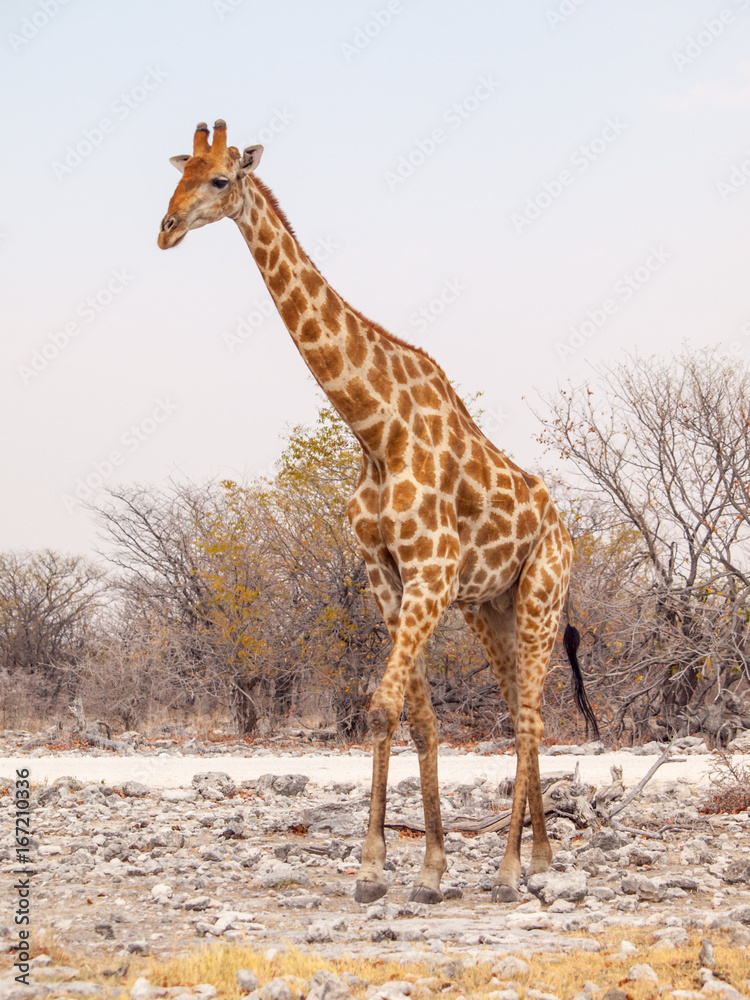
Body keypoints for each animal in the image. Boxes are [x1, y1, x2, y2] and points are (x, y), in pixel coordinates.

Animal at [158, 120, 598, 904]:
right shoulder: (388, 579)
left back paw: (512, 869)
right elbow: (419, 718)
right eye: (177, 175)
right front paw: (425, 865)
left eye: (219, 180)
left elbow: (384, 706)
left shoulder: (429, 574)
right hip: (491, 608)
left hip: (544, 594)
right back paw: (540, 854)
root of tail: (564, 528)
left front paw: (375, 868)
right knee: (524, 711)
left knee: (529, 717)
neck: (376, 429)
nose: (166, 228)